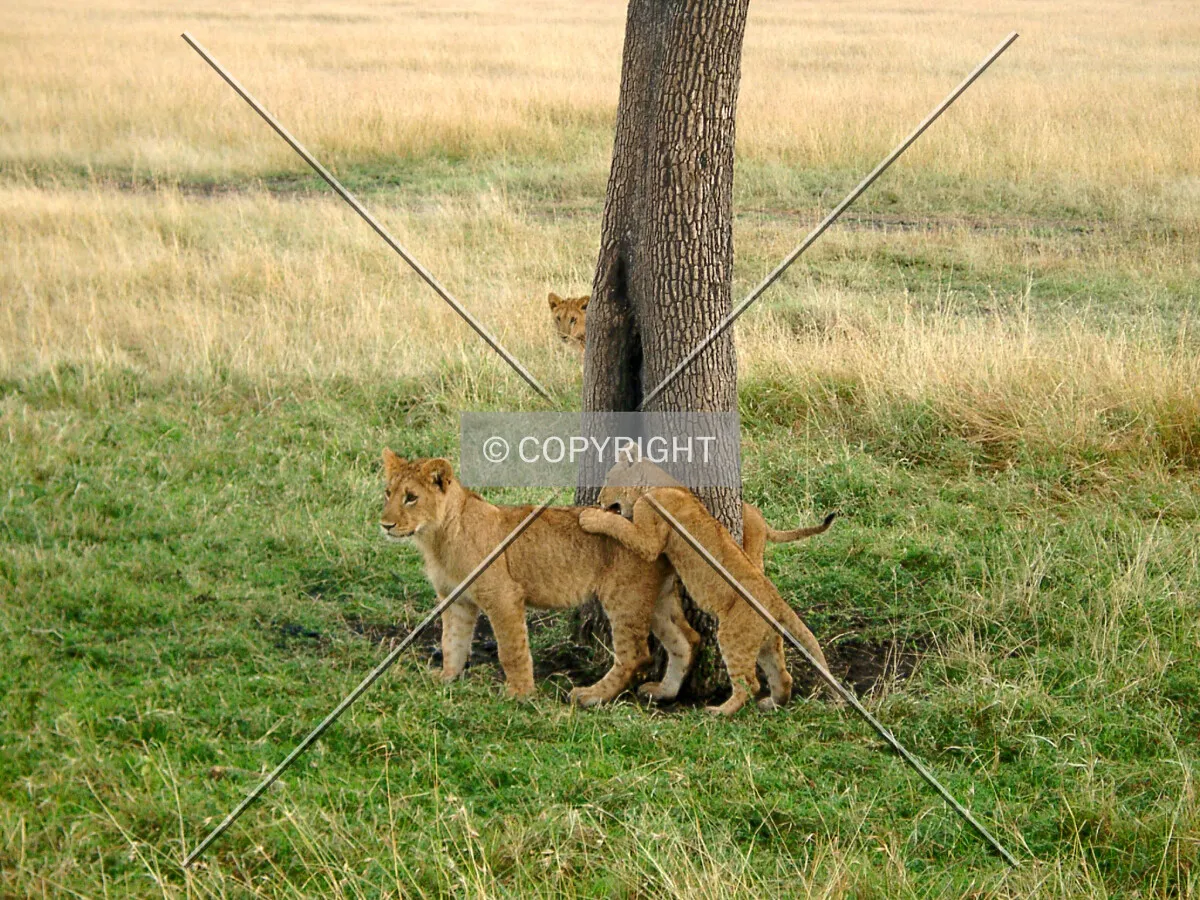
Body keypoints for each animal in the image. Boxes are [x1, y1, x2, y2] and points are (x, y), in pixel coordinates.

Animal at [379, 451, 700, 706]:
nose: (385, 525)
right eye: (387, 493)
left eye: (411, 498)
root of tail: (655, 531)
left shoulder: (503, 596)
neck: (436, 539)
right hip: (655, 598)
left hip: (624, 596)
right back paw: (664, 691)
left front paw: (520, 694)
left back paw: (591, 695)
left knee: (635, 654)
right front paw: (446, 677)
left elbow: (511, 649)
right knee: (687, 639)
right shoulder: (455, 599)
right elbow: (452, 641)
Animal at [579, 478, 837, 716]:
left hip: (735, 636)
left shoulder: (649, 540)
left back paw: (720, 712)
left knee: (750, 683)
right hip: (766, 641)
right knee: (782, 677)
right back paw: (770, 704)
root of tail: (776, 601)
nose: (598, 500)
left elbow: (620, 525)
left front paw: (588, 517)